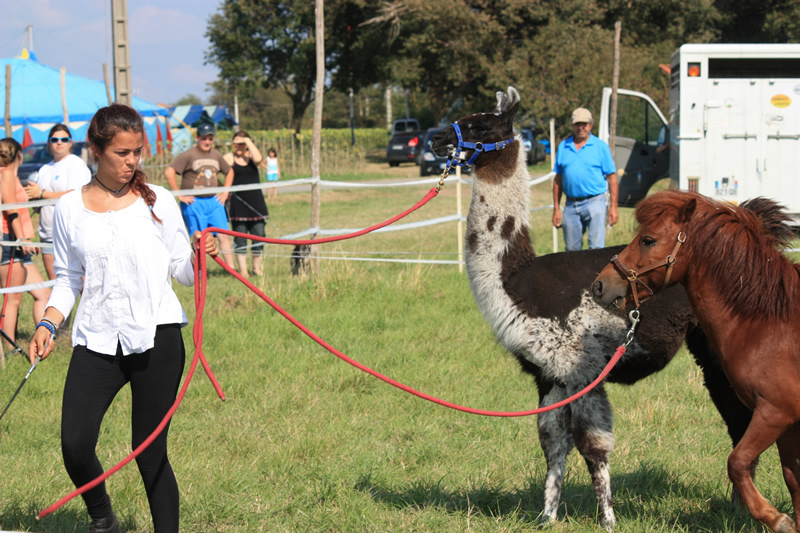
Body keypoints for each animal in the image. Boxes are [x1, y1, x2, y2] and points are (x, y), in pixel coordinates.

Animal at [592, 191, 800, 532]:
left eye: (648, 240)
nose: (600, 285)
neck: (769, 322)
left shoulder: (774, 413)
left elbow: (737, 462)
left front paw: (776, 519)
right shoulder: (786, 424)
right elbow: (793, 479)